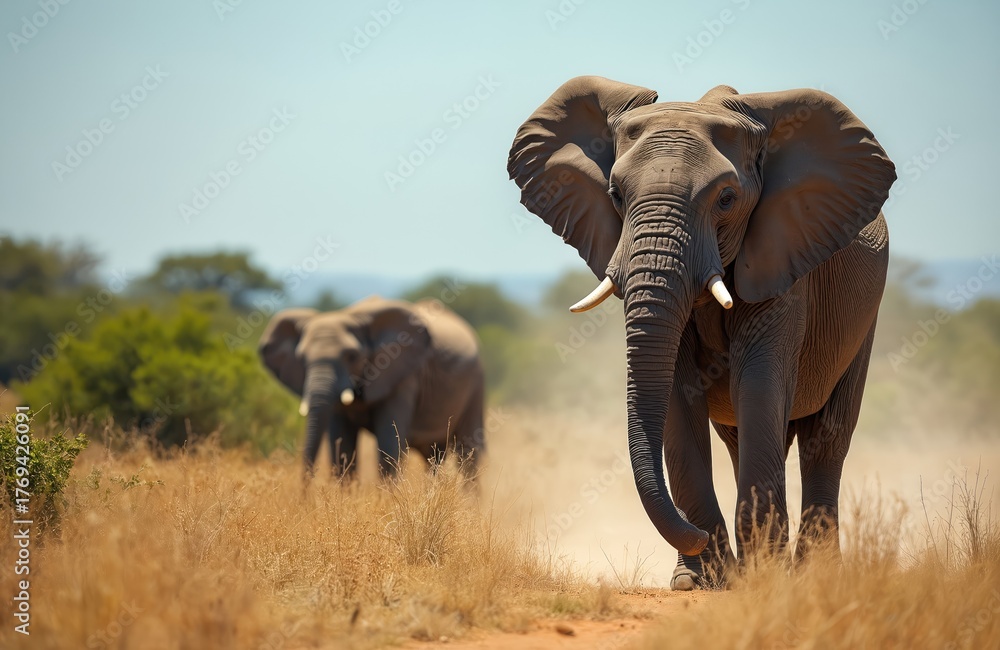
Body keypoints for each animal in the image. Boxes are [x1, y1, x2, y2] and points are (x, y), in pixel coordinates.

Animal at [259, 296, 486, 477]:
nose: (305, 498)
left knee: (469, 450)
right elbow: (342, 447)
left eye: (352, 356)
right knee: (434, 456)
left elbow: (389, 444)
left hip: (476, 382)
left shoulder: (404, 375)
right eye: (302, 359)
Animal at [508, 77, 896, 589]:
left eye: (727, 199)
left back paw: (815, 574)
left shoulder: (785, 260)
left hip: (863, 322)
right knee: (740, 439)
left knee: (826, 438)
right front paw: (701, 581)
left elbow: (760, 383)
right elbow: (676, 389)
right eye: (616, 195)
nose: (694, 535)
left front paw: (765, 577)